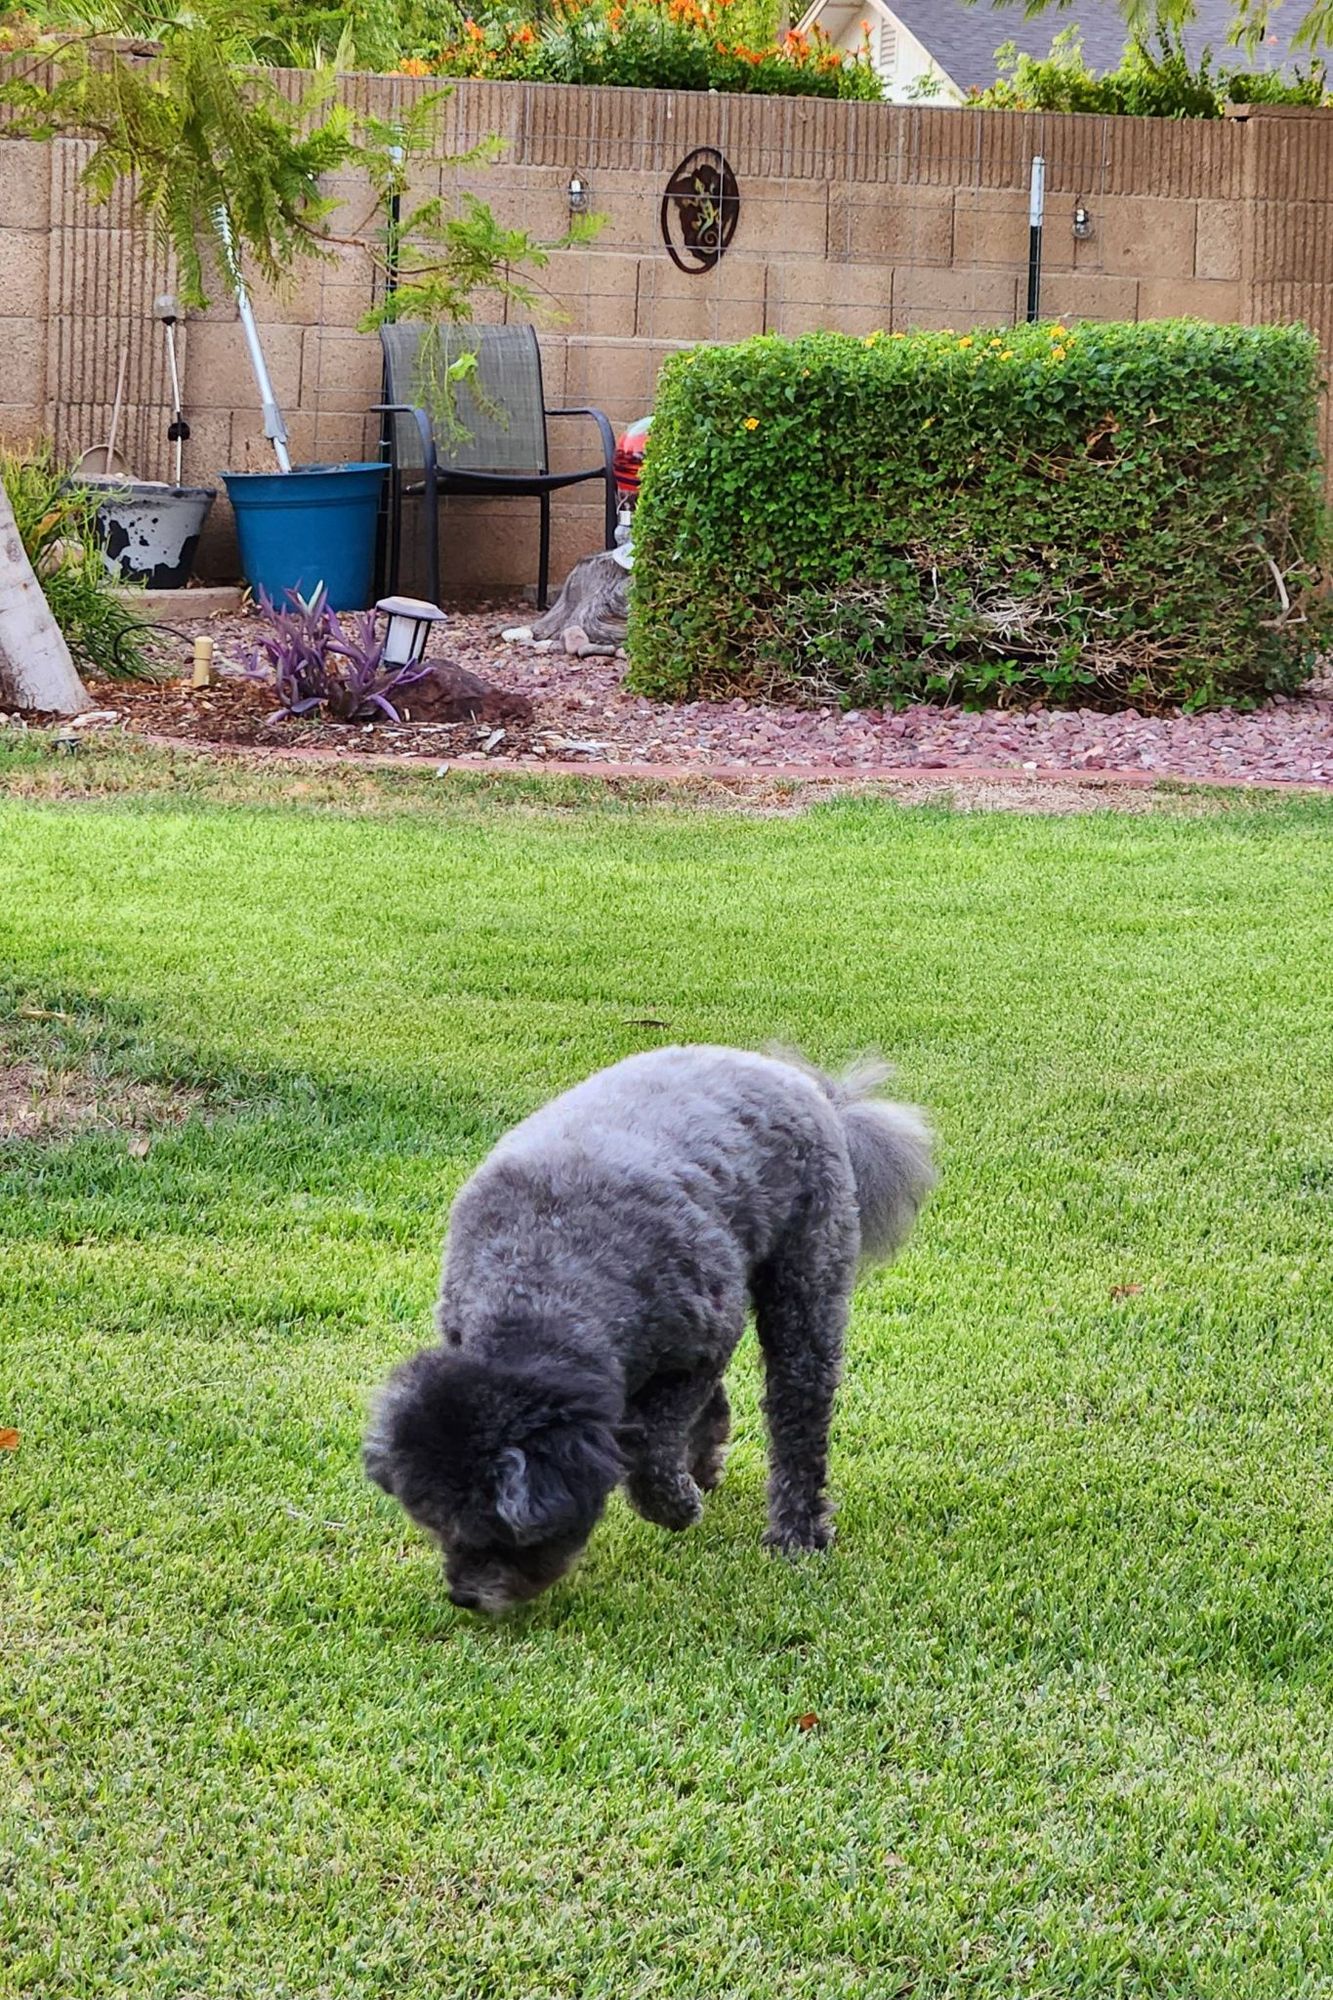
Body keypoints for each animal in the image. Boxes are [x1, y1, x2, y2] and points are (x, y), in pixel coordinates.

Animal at [358, 1048, 928, 1608]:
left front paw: (676, 1507)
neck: (540, 1280)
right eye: (436, 1525)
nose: (464, 1597)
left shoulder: (698, 1352)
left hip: (806, 1280)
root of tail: (809, 1085)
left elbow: (652, 1449)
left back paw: (796, 1531)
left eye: (498, 1533)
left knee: (798, 1411)